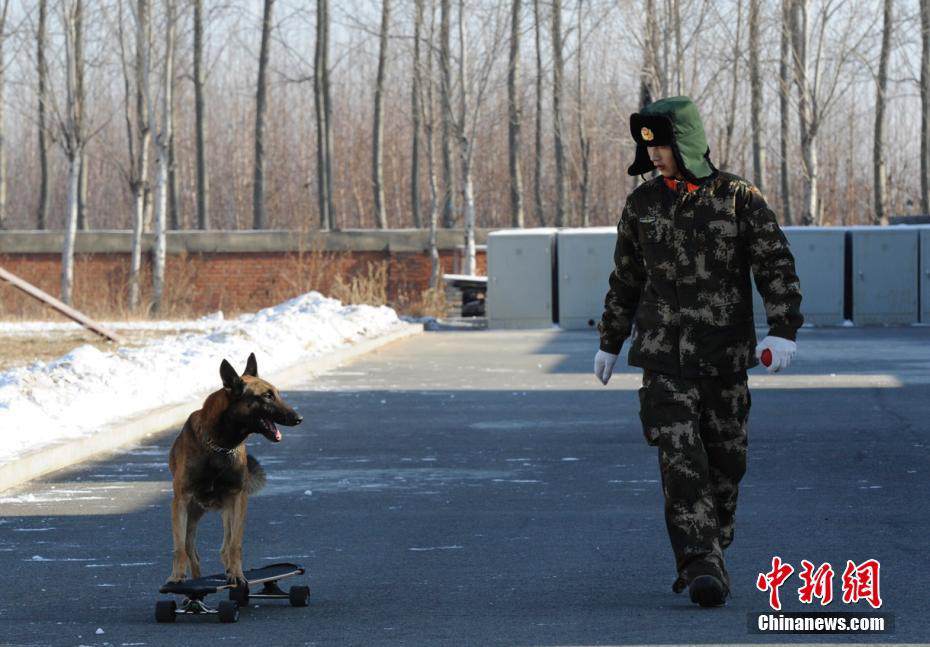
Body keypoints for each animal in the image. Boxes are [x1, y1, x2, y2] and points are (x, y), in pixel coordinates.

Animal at [163, 354, 300, 588]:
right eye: (267, 396)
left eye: (277, 394)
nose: (299, 418)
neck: (219, 446)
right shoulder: (181, 500)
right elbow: (179, 548)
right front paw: (176, 576)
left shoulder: (237, 499)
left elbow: (235, 545)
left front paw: (237, 574)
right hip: (192, 514)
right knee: (191, 551)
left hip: (227, 511)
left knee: (225, 547)